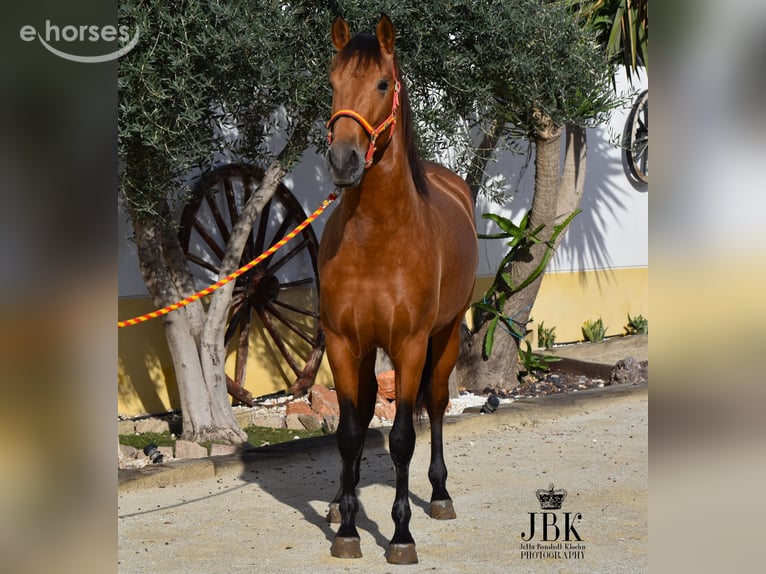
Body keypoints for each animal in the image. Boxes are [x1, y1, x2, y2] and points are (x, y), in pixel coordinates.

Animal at [318, 14, 479, 565]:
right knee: (365, 411)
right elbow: (349, 432)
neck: (378, 238)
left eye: (383, 84)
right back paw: (338, 503)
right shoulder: (343, 342)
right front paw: (348, 529)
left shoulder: (409, 345)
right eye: (332, 82)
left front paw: (401, 535)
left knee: (436, 403)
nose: (343, 160)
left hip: (443, 339)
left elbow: (404, 437)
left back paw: (440, 494)